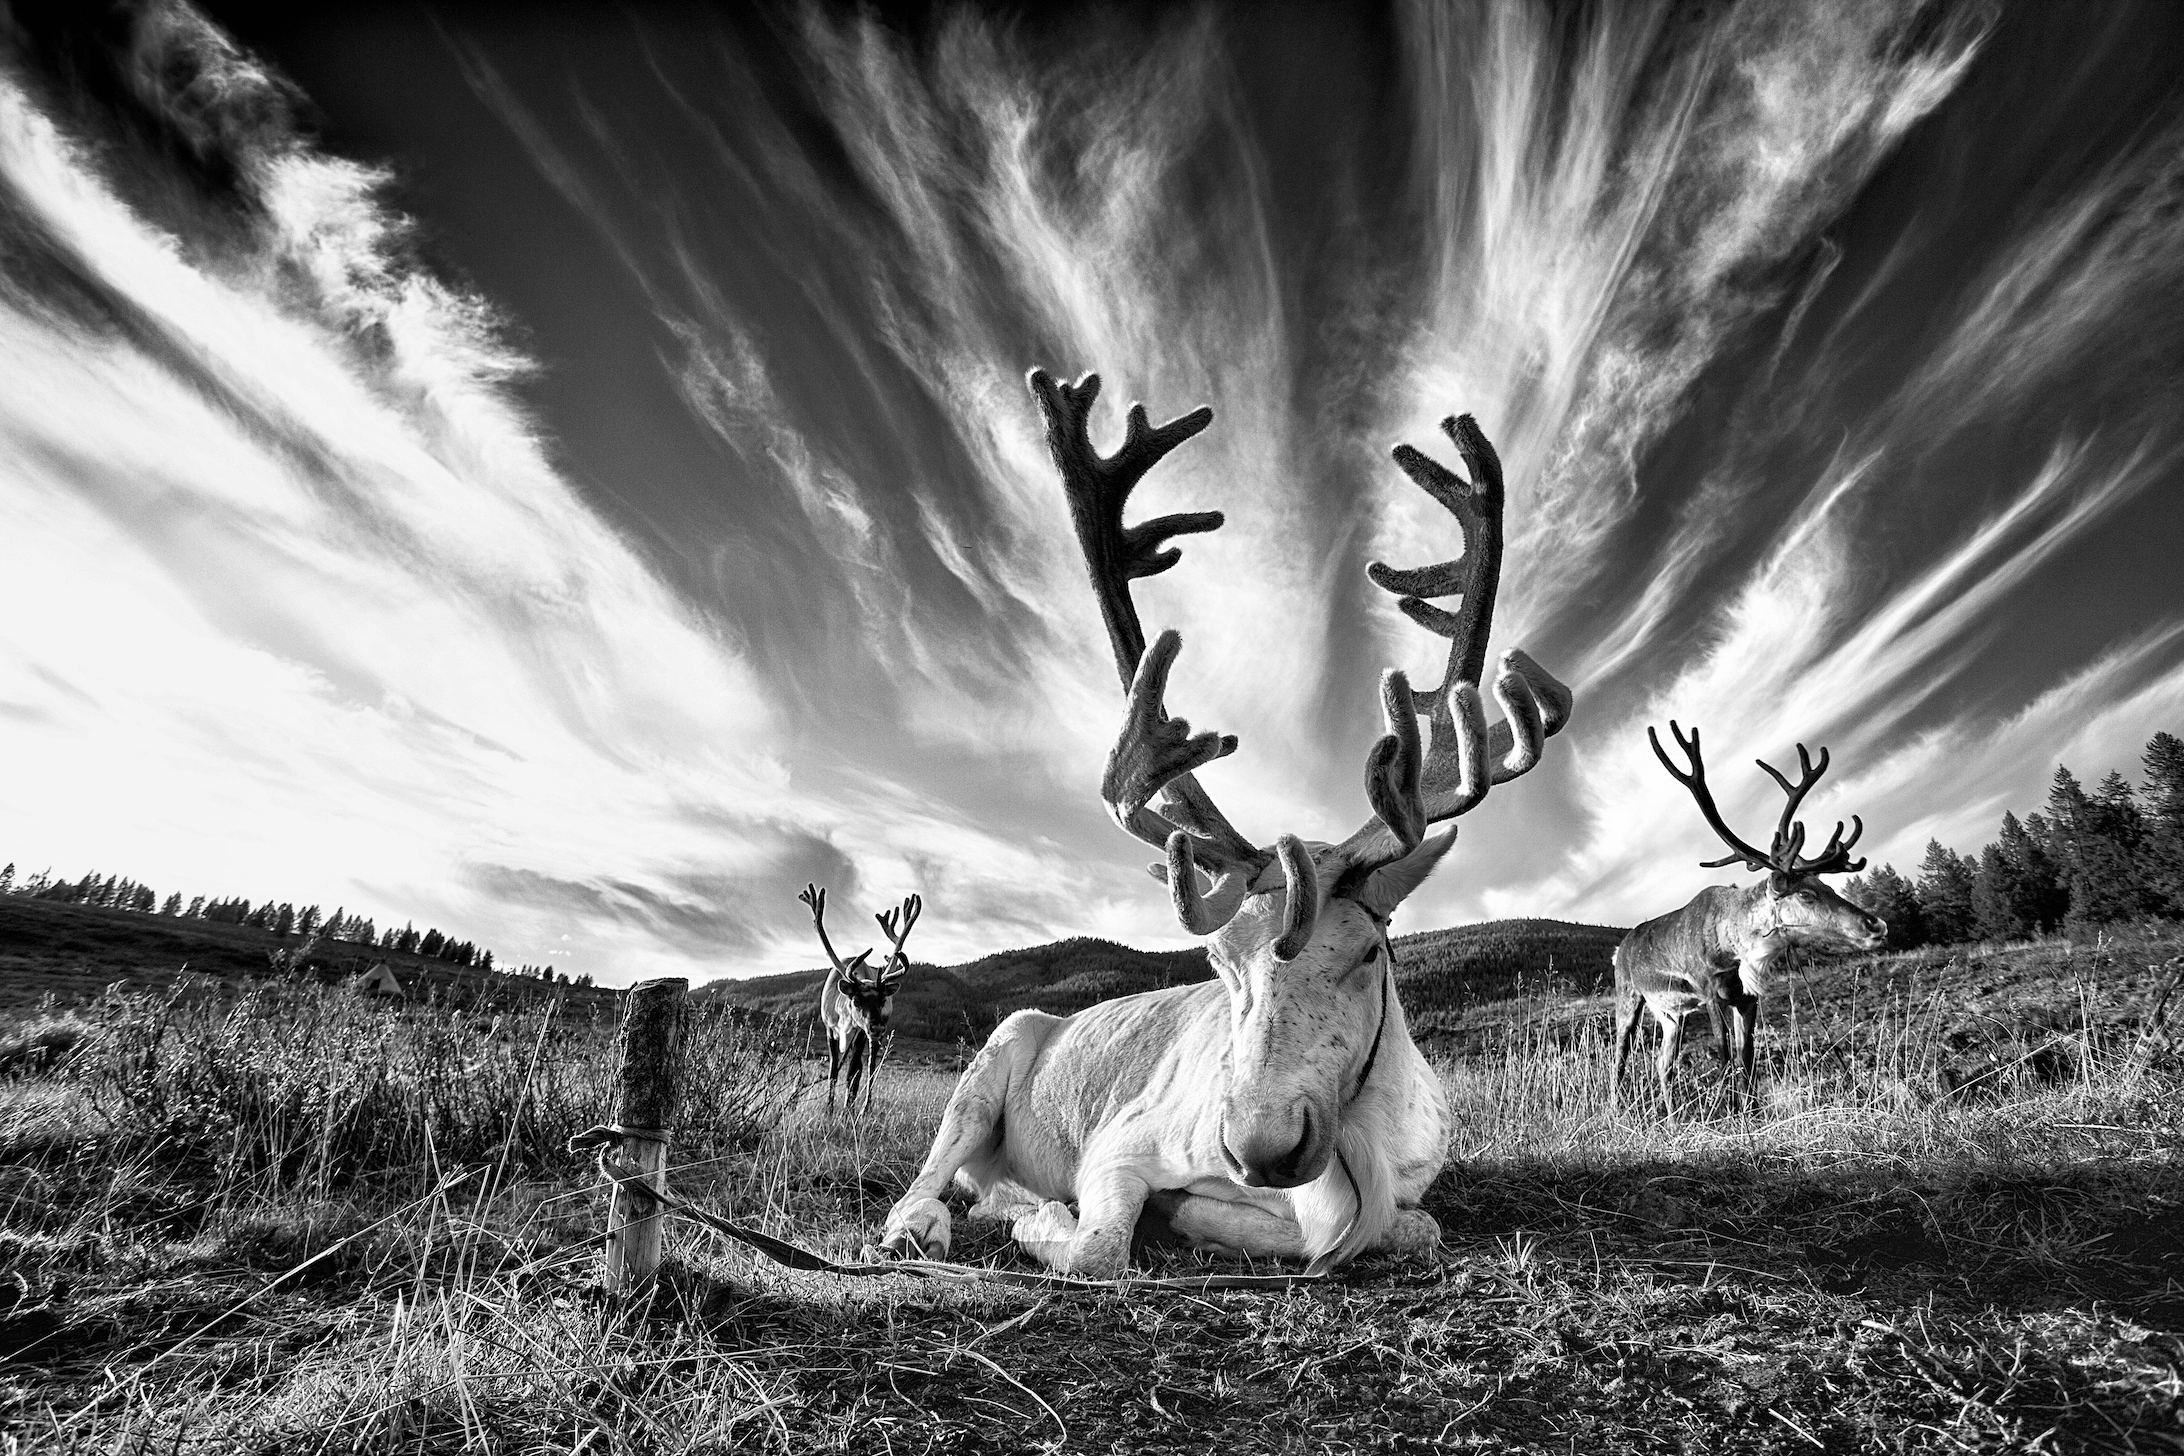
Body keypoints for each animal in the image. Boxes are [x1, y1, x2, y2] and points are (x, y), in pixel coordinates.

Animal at [799, 883, 921, 1115]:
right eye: (856, 1001)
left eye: (882, 1001)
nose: (877, 1026)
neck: (845, 1021)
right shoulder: (829, 1030)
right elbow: (833, 1071)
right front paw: (829, 1109)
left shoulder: (860, 1034)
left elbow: (853, 1073)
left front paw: (848, 1109)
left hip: (872, 1036)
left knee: (870, 1066)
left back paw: (865, 1106)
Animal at [861, 368, 1574, 1277]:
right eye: (1218, 960)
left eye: (1371, 953)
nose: (1261, 1145)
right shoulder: (1119, 1148)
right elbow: (1098, 1247)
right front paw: (1053, 1216)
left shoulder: (1408, 1184)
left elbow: (1407, 1225)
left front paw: (1204, 1219)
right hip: (989, 1060)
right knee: (935, 1170)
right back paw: (937, 1218)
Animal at [1609, 721, 1887, 1114]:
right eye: (1806, 894)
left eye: (1827, 885)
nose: (1875, 923)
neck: (1735, 946)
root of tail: (1620, 949)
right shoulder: (1709, 990)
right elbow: (1724, 1052)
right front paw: (1731, 1111)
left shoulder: (1746, 998)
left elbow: (1747, 1055)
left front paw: (1752, 1110)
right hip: (1629, 997)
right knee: (1619, 1057)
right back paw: (1616, 1109)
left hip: (1671, 1013)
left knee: (1664, 1063)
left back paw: (1673, 1118)